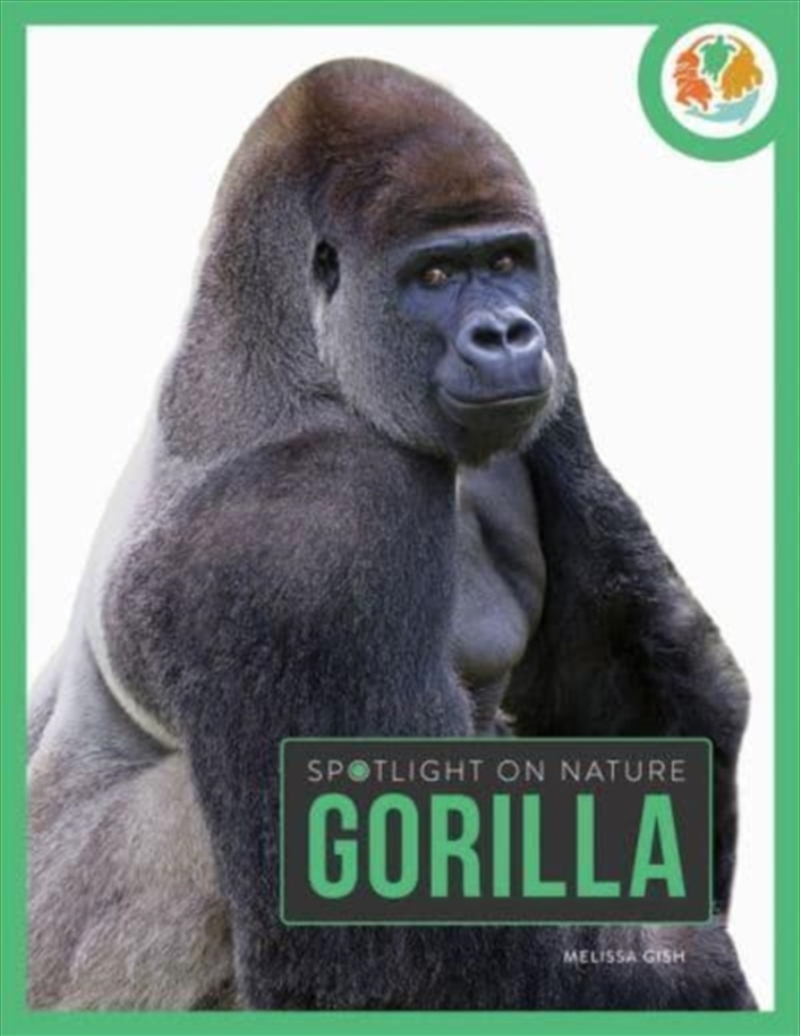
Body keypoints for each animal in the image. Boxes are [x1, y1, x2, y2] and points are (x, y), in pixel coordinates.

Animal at [28, 58, 754, 1010]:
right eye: (436, 276)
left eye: (508, 261)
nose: (506, 333)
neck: (296, 355)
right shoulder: (314, 535)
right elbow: (391, 952)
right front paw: (693, 969)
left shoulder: (555, 395)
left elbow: (642, 705)